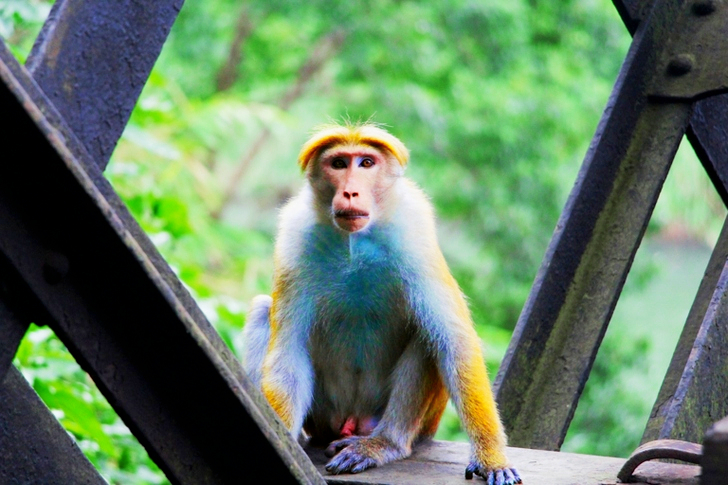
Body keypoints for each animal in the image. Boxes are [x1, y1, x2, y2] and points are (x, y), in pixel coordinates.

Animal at [242, 122, 522, 484]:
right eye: (338, 164)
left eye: (366, 163)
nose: (350, 192)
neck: (354, 243)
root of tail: (353, 422)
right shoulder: (294, 239)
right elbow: (287, 351)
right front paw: (281, 440)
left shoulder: (415, 233)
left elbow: (454, 341)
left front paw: (491, 459)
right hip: (324, 417)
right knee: (264, 311)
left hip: (418, 422)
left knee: (426, 333)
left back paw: (384, 443)